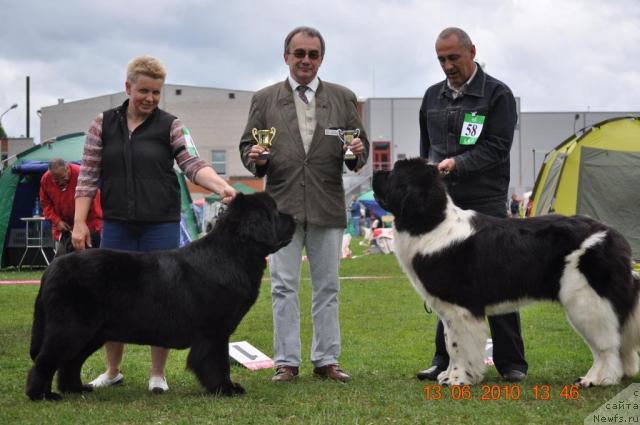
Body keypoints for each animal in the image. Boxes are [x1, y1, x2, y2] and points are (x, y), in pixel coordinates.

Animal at [25, 190, 296, 400]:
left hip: (92, 332)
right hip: (72, 327)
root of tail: (52, 267)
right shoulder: (214, 331)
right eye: (275, 213)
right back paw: (42, 395)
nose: (293, 217)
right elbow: (217, 362)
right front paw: (226, 389)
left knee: (70, 362)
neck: (233, 253)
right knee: (46, 360)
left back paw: (76, 388)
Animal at [372, 158, 640, 388]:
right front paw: (448, 375)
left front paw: (457, 379)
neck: (432, 223)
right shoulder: (449, 311)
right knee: (620, 342)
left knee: (606, 346)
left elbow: (458, 345)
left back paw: (596, 378)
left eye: (394, 172)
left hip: (586, 300)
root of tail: (614, 235)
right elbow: (449, 342)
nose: (375, 171)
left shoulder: (460, 309)